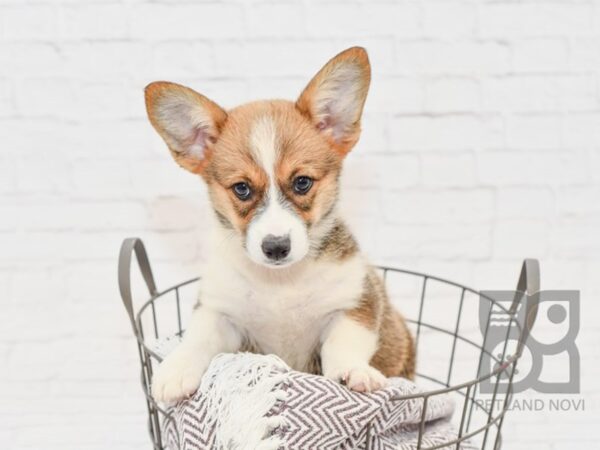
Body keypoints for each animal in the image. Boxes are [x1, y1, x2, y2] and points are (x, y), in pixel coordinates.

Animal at [146, 47, 418, 402]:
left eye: (302, 182)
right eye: (242, 189)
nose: (276, 247)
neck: (280, 283)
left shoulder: (355, 304)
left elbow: (342, 345)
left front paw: (352, 372)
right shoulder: (220, 312)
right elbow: (198, 338)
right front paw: (176, 370)